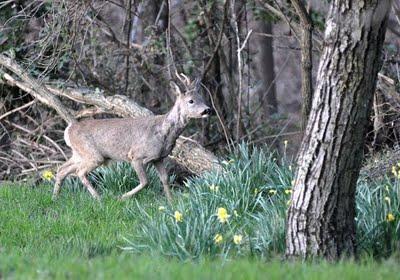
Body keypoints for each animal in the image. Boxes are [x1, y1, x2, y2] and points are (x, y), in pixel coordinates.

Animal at [53, 74, 212, 201]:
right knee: (79, 172)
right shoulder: (136, 156)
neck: (163, 132)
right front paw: (122, 197)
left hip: (80, 153)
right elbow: (145, 182)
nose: (207, 110)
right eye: (191, 101)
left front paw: (171, 203)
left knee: (62, 169)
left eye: (201, 98)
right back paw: (99, 198)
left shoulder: (158, 158)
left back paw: (55, 198)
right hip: (93, 154)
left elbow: (165, 179)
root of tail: (69, 128)